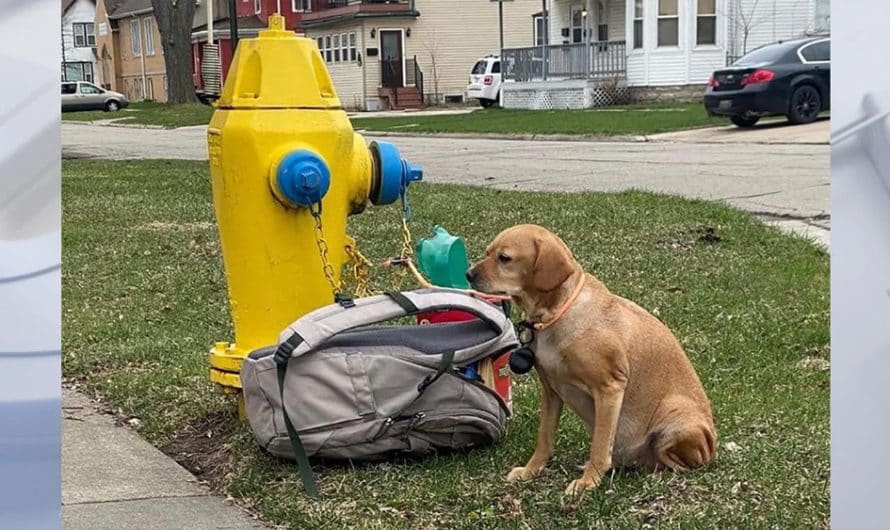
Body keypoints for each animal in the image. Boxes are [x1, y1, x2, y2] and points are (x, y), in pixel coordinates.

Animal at [464, 224, 716, 496]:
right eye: (488, 252)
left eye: (505, 258)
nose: (468, 274)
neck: (556, 314)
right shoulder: (551, 391)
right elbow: (544, 440)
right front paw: (531, 471)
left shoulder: (610, 388)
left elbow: (599, 447)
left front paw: (588, 482)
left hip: (675, 420)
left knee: (678, 464)